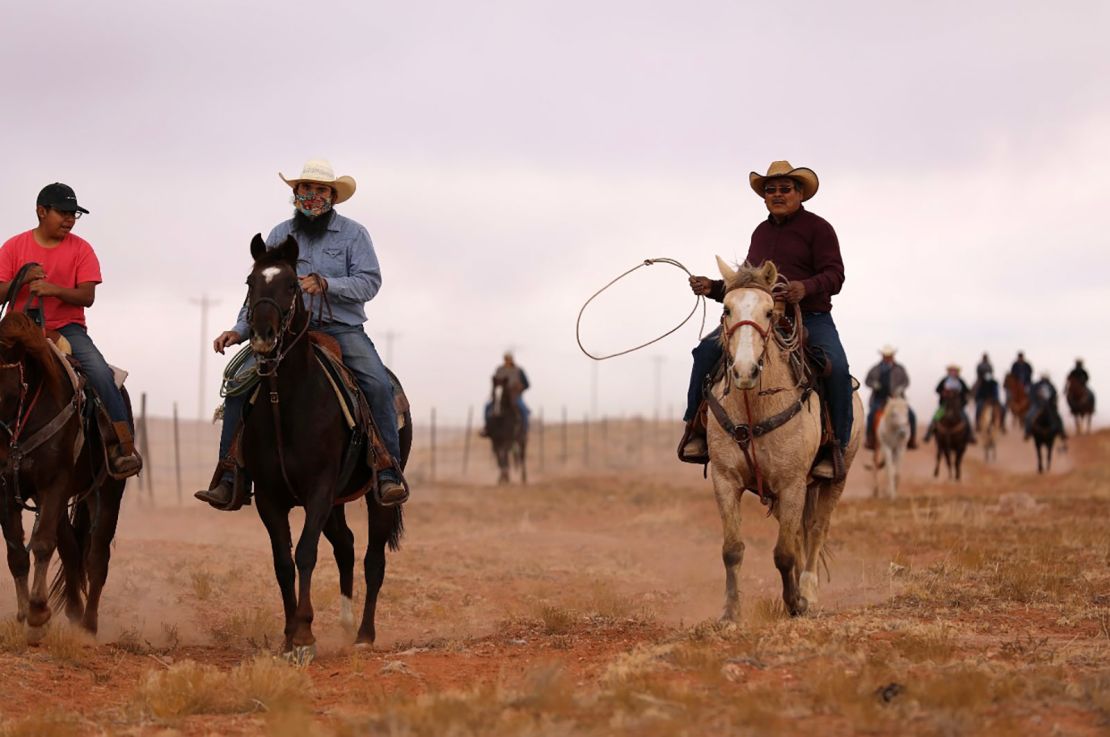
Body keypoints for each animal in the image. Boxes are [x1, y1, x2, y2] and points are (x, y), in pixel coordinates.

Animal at [0, 310, 127, 639]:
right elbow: (17, 554)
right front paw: (24, 615)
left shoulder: (54, 484)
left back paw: (89, 626)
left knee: (96, 556)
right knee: (70, 550)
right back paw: (73, 612)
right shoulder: (5, 491)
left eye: (9, 391)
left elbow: (43, 544)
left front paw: (36, 615)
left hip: (107, 492)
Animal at [240, 234, 410, 661]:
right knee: (346, 546)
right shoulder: (270, 498)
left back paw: (365, 634)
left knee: (373, 559)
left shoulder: (318, 490)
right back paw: (347, 625)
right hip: (336, 501)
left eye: (291, 285)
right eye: (251, 282)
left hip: (376, 498)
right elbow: (283, 561)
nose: (263, 336)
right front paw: (289, 636)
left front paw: (303, 636)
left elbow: (305, 553)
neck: (287, 403)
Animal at [705, 258, 861, 621]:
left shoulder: (792, 483)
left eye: (767, 312)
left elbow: (784, 553)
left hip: (834, 479)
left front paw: (795, 603)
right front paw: (730, 613)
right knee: (800, 532)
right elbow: (732, 549)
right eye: (727, 309)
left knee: (816, 529)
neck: (752, 407)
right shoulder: (725, 479)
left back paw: (809, 592)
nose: (745, 371)